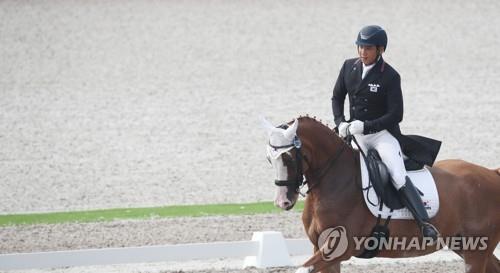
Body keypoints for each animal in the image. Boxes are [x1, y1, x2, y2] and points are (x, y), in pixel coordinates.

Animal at [264, 116, 498, 270]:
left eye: (288, 158)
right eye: (268, 159)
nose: (282, 202)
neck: (335, 181)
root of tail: (491, 173)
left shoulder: (338, 248)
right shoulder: (320, 248)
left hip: (476, 252)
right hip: (464, 245)